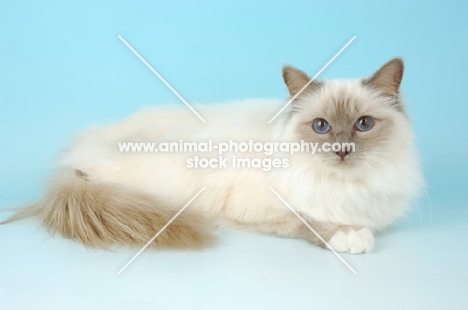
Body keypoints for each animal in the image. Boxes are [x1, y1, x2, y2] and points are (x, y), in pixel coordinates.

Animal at [0, 58, 424, 254]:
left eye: (363, 124)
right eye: (321, 127)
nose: (342, 150)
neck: (347, 186)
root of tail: (73, 156)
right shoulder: (264, 206)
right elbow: (311, 219)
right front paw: (349, 236)